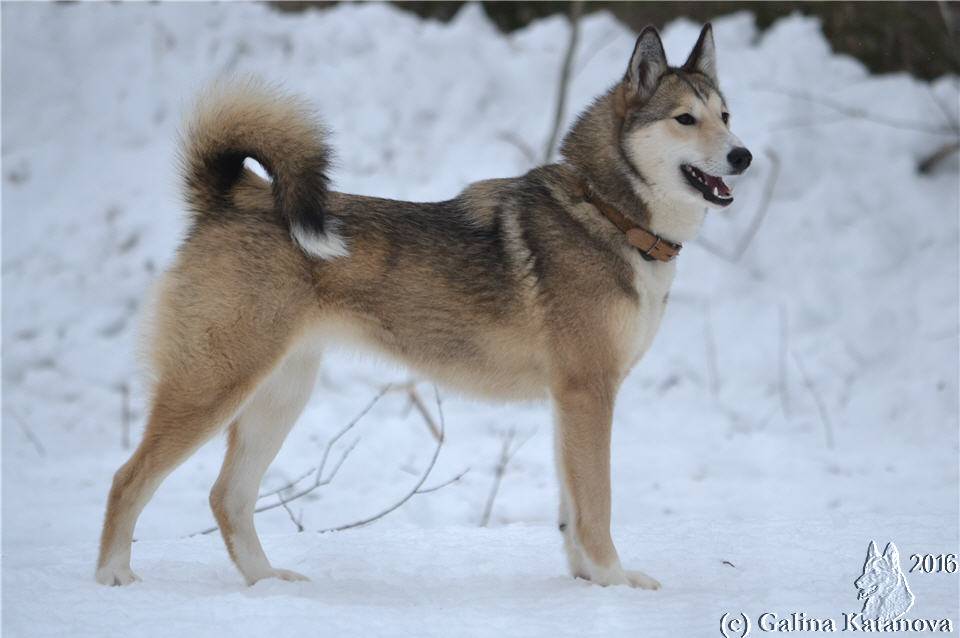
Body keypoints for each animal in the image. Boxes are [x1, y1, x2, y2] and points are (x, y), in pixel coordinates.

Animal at [95, 21, 752, 592]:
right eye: (685, 119)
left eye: (725, 116)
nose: (744, 156)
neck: (608, 213)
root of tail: (233, 196)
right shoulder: (589, 392)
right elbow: (597, 505)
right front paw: (616, 581)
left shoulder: (570, 401)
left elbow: (572, 509)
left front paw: (588, 581)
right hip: (213, 386)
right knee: (128, 478)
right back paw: (114, 577)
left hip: (278, 395)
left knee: (227, 496)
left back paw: (267, 583)